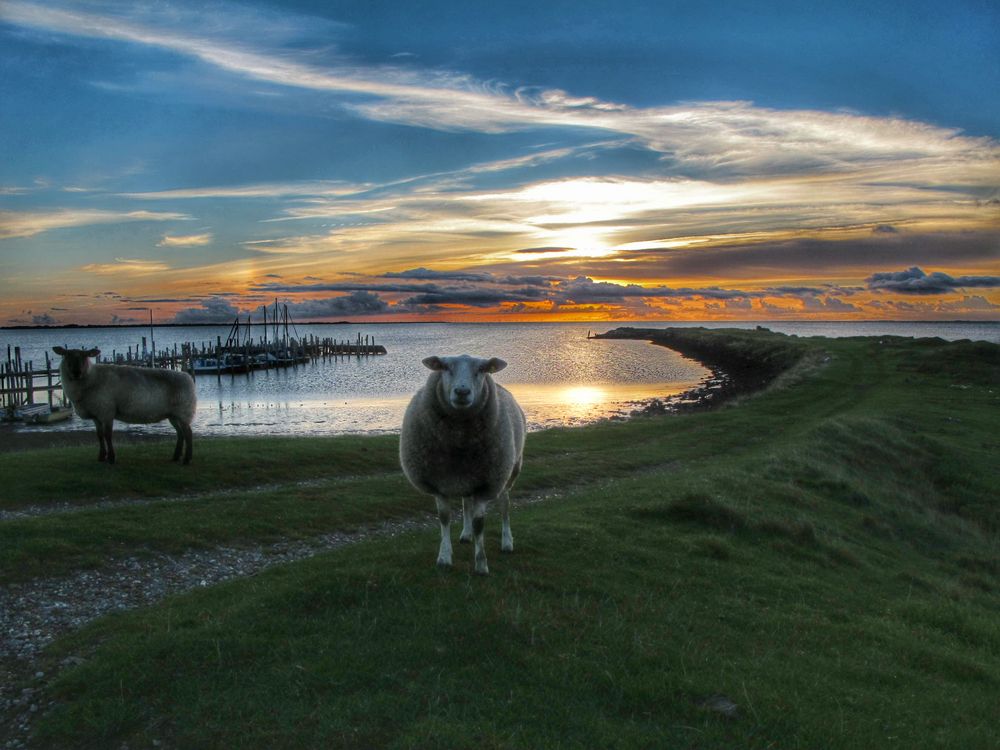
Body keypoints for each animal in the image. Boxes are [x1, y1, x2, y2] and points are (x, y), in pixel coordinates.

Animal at [52, 346, 197, 464]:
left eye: (85, 356)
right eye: (66, 355)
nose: (76, 372)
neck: (91, 378)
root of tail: (188, 378)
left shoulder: (106, 411)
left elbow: (107, 435)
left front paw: (111, 458)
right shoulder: (97, 415)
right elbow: (99, 435)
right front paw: (101, 457)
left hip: (183, 411)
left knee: (188, 434)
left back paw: (187, 459)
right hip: (173, 415)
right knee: (180, 434)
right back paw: (176, 457)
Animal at [398, 356, 528, 580]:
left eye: (481, 369)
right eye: (445, 367)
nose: (461, 392)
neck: (458, 440)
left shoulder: (485, 485)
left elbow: (479, 524)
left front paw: (481, 564)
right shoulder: (440, 484)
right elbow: (445, 518)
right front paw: (444, 557)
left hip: (507, 474)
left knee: (504, 506)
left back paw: (507, 542)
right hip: (467, 478)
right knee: (466, 503)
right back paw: (466, 535)